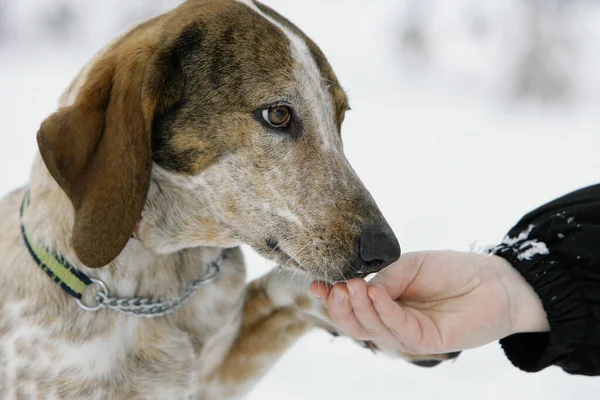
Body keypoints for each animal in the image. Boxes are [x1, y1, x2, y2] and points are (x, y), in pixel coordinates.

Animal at [1, 1, 454, 398]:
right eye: (278, 114)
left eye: (340, 117)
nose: (385, 251)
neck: (161, 294)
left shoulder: (214, 379)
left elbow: (285, 285)